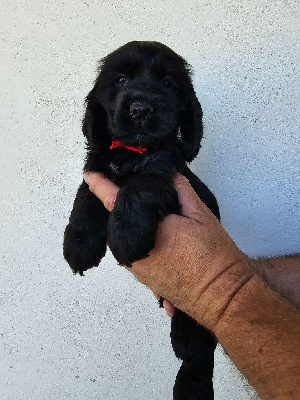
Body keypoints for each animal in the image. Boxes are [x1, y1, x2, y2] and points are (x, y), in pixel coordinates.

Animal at [63, 41, 219, 400]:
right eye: (120, 80)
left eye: (168, 84)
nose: (141, 109)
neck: (131, 152)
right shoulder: (98, 165)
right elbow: (85, 193)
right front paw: (79, 244)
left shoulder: (166, 172)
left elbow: (141, 184)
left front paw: (126, 236)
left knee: (197, 352)